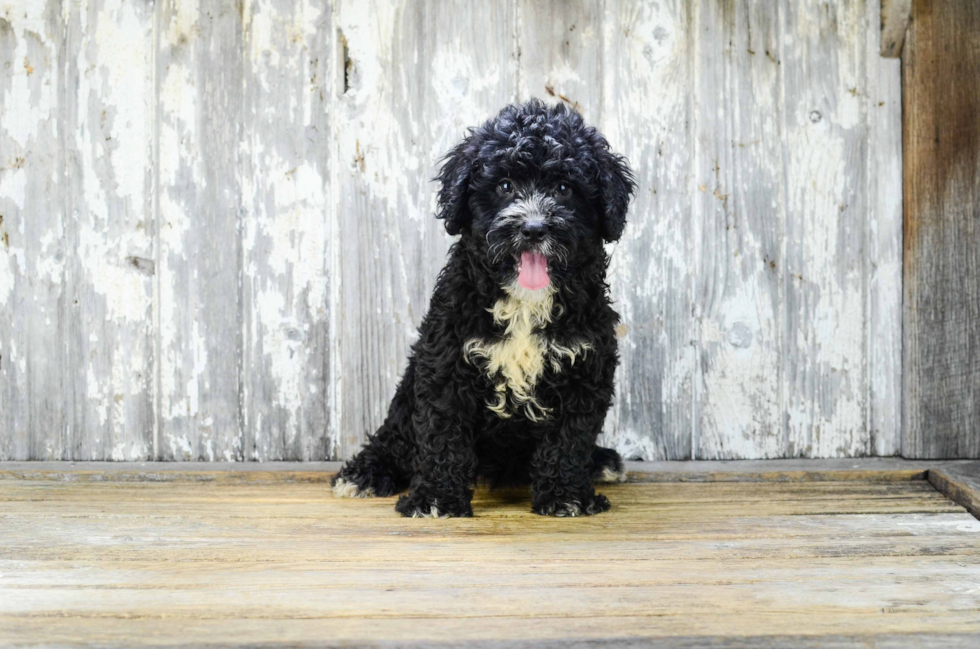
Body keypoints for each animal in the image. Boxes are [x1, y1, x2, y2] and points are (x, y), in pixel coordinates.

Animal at [332, 100, 636, 516]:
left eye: (564, 188)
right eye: (504, 186)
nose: (533, 229)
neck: (525, 304)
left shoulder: (585, 366)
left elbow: (569, 438)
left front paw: (566, 495)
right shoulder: (446, 361)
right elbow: (443, 433)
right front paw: (437, 498)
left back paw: (601, 462)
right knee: (396, 435)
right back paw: (365, 472)